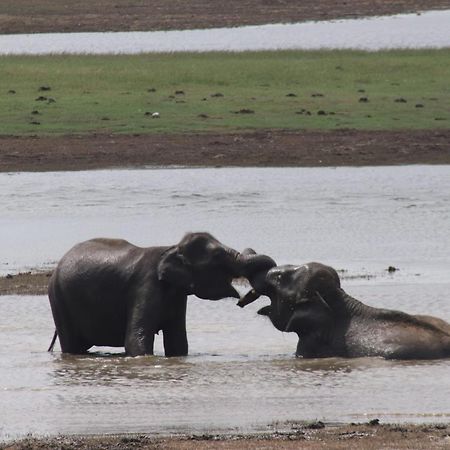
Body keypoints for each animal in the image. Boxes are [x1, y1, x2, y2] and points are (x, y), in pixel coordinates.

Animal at [48, 232, 274, 356]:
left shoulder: (177, 294)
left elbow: (178, 342)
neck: (171, 248)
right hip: (58, 300)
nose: (243, 300)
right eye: (218, 256)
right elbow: (135, 340)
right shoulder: (145, 285)